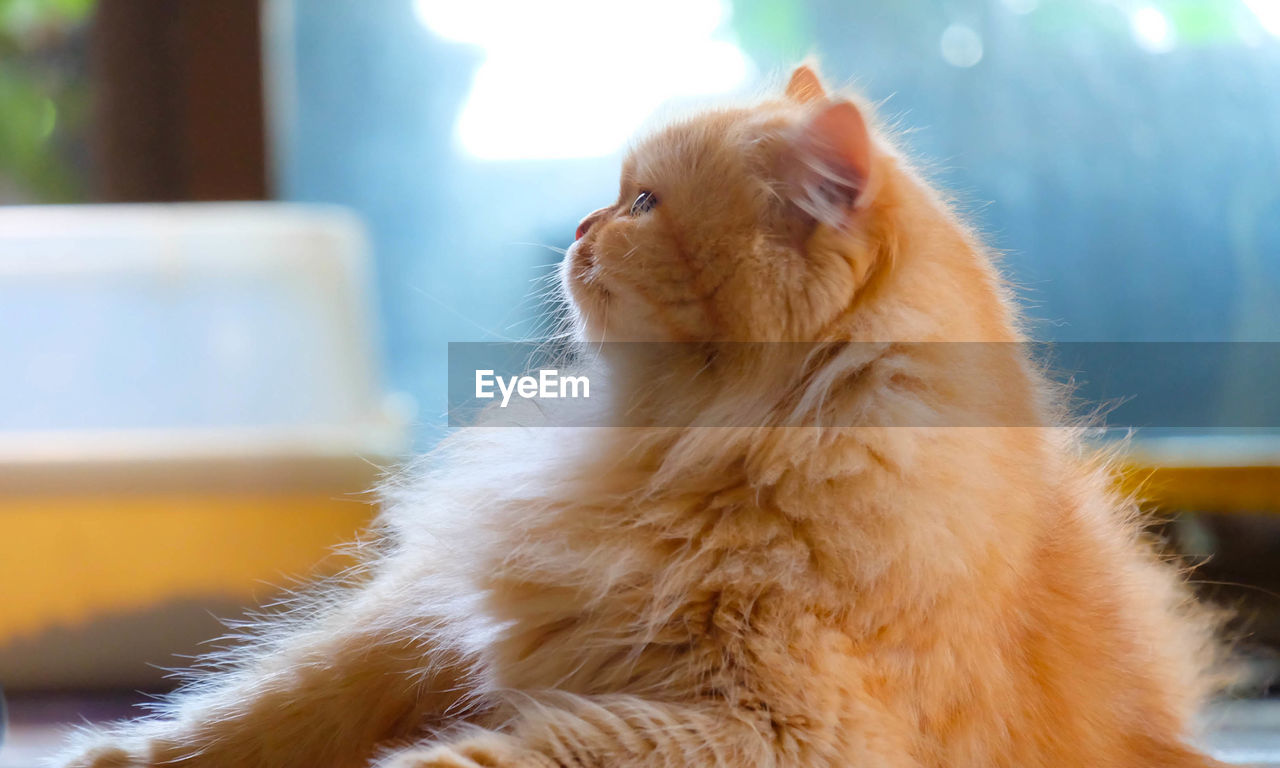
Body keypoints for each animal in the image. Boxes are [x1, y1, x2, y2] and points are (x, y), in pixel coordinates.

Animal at [62, 65, 1228, 768]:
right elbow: (260, 709)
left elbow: (496, 752)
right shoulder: (418, 620)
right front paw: (112, 755)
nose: (580, 223)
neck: (681, 447)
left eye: (641, 204)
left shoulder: (758, 729)